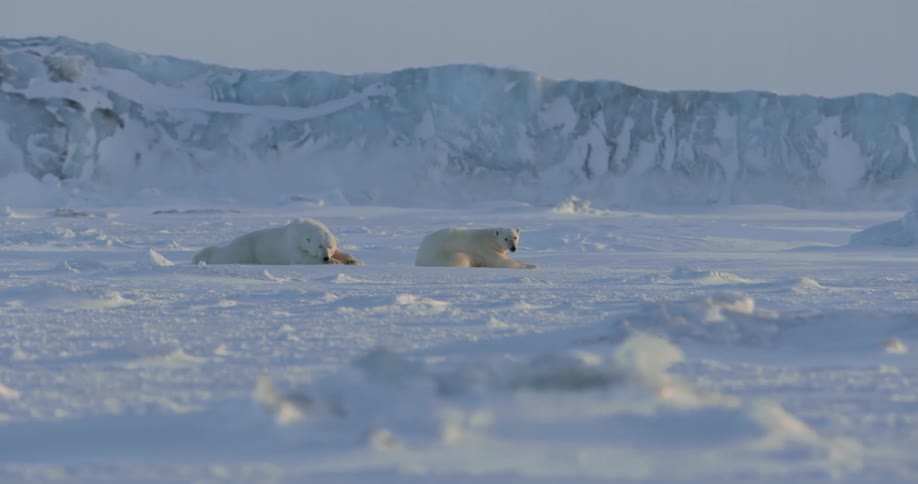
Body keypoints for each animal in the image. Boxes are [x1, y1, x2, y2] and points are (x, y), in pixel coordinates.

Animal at [192, 218, 362, 266]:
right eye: (319, 246)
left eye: (330, 246)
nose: (326, 257)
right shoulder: (292, 243)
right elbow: (303, 258)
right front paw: (336, 262)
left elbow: (343, 252)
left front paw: (353, 261)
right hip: (245, 250)